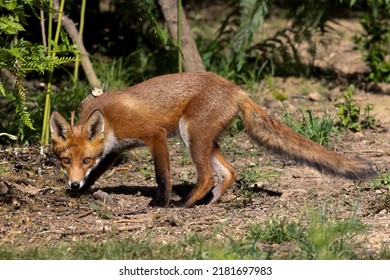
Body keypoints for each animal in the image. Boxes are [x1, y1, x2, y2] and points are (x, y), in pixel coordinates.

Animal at [50, 72, 376, 208]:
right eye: (66, 161)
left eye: (85, 159)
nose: (74, 184)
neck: (110, 120)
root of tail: (236, 88)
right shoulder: (115, 150)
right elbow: (99, 174)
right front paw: (81, 191)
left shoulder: (154, 135)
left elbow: (162, 176)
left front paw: (162, 202)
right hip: (206, 140)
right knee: (229, 171)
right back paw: (210, 203)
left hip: (189, 135)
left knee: (207, 175)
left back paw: (183, 205)